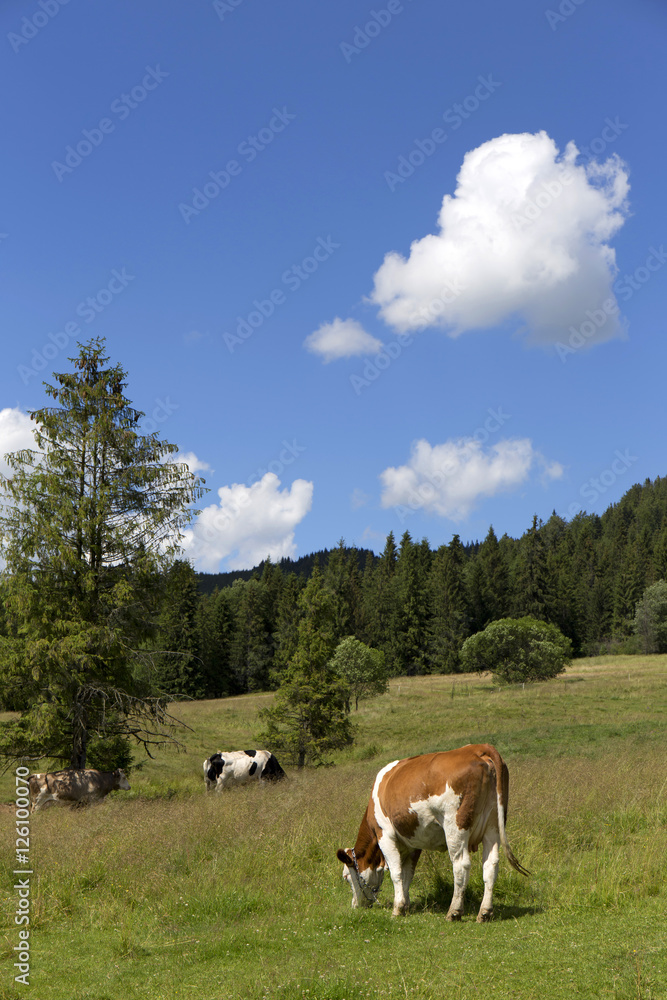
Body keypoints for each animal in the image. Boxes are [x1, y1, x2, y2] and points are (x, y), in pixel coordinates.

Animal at [336, 744, 528, 920]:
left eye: (346, 877)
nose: (355, 905)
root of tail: (477, 748)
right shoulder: (412, 843)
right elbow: (407, 874)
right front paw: (405, 905)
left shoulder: (385, 835)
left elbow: (396, 873)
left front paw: (397, 909)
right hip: (493, 824)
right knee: (490, 865)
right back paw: (485, 912)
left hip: (455, 824)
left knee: (461, 864)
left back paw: (454, 911)